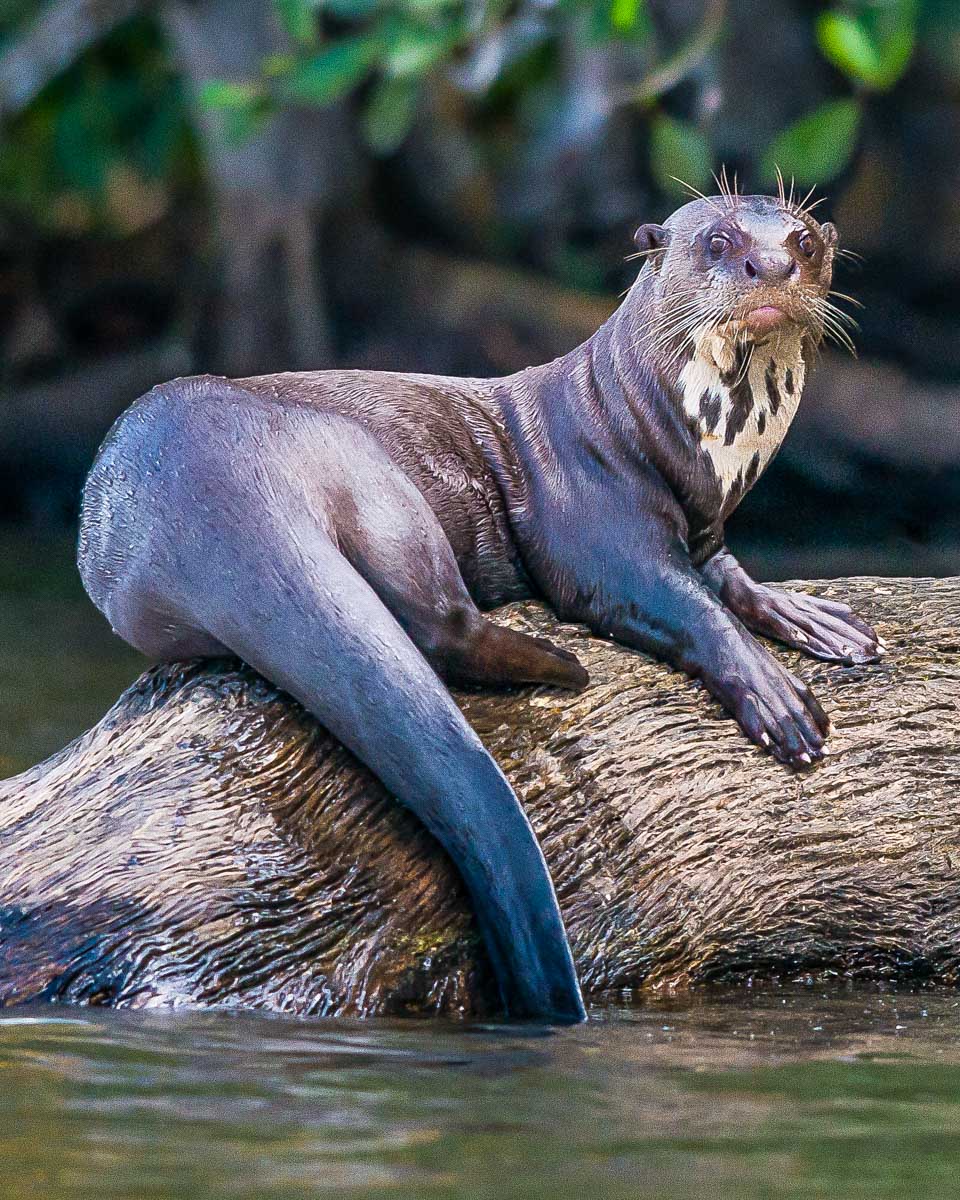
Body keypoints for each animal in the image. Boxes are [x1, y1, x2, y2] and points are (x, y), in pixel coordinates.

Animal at [78, 188, 881, 1023]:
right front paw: (775, 695)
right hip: (364, 469)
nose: (773, 265)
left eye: (804, 242)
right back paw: (560, 666)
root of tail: (206, 487)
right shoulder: (593, 521)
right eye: (718, 242)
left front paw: (814, 620)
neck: (668, 434)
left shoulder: (706, 528)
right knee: (438, 622)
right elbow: (677, 602)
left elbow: (730, 579)